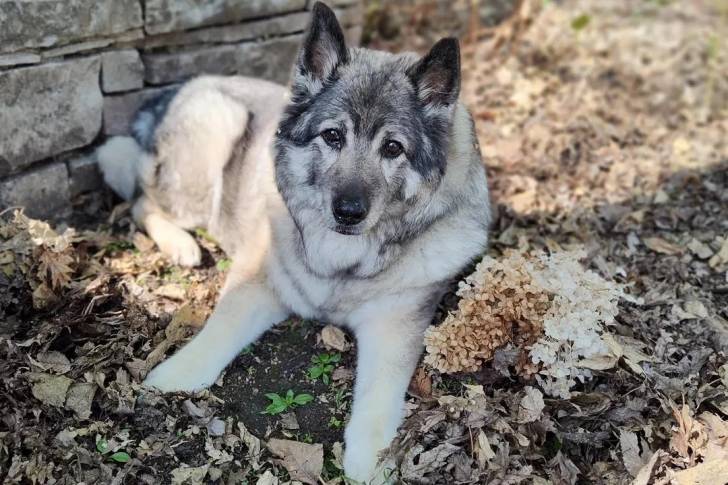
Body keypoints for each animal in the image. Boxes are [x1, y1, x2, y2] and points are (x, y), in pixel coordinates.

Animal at [97, 2, 490, 482]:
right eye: (333, 136)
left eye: (393, 148)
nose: (348, 211)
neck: (343, 261)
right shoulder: (256, 280)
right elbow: (219, 327)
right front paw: (177, 375)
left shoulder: (395, 324)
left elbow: (379, 395)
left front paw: (369, 460)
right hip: (217, 133)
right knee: (139, 199)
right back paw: (182, 244)